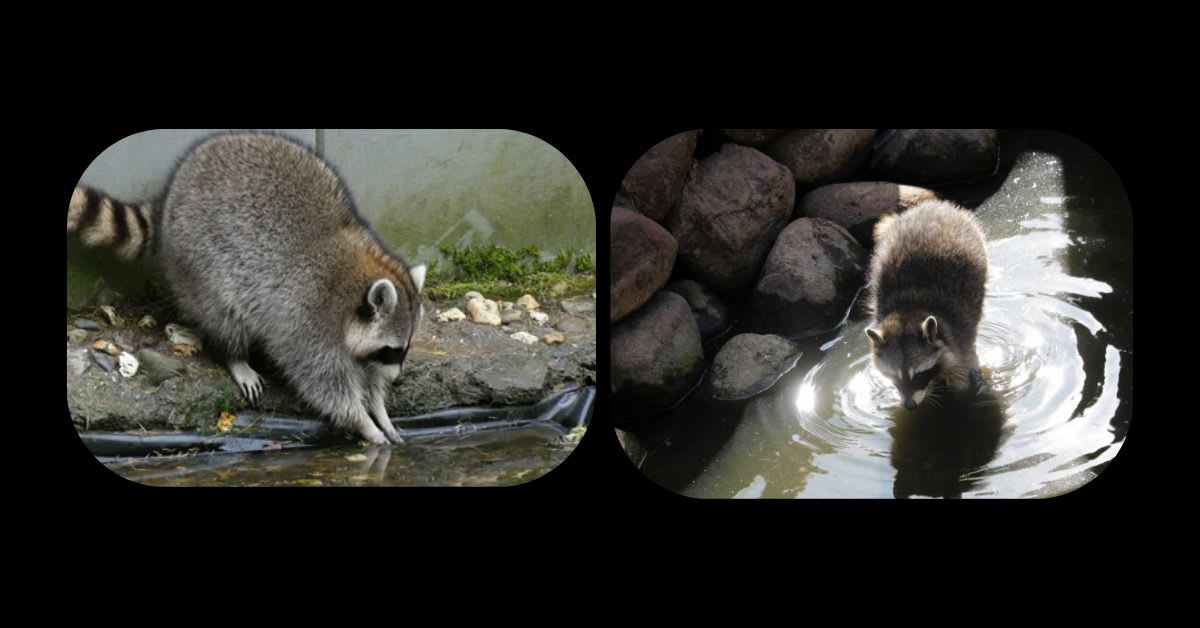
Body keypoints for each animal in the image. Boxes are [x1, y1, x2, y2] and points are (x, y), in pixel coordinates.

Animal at [67, 132, 426, 445]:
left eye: (404, 349)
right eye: (393, 350)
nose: (399, 380)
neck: (359, 277)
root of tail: (169, 202)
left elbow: (367, 373)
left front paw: (379, 408)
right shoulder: (307, 321)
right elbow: (323, 382)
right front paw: (363, 422)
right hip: (201, 258)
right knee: (224, 312)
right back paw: (235, 356)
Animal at [864, 200, 988, 410]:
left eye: (920, 374)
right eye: (894, 376)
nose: (909, 406)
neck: (907, 312)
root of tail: (932, 204)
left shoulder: (958, 338)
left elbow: (961, 373)